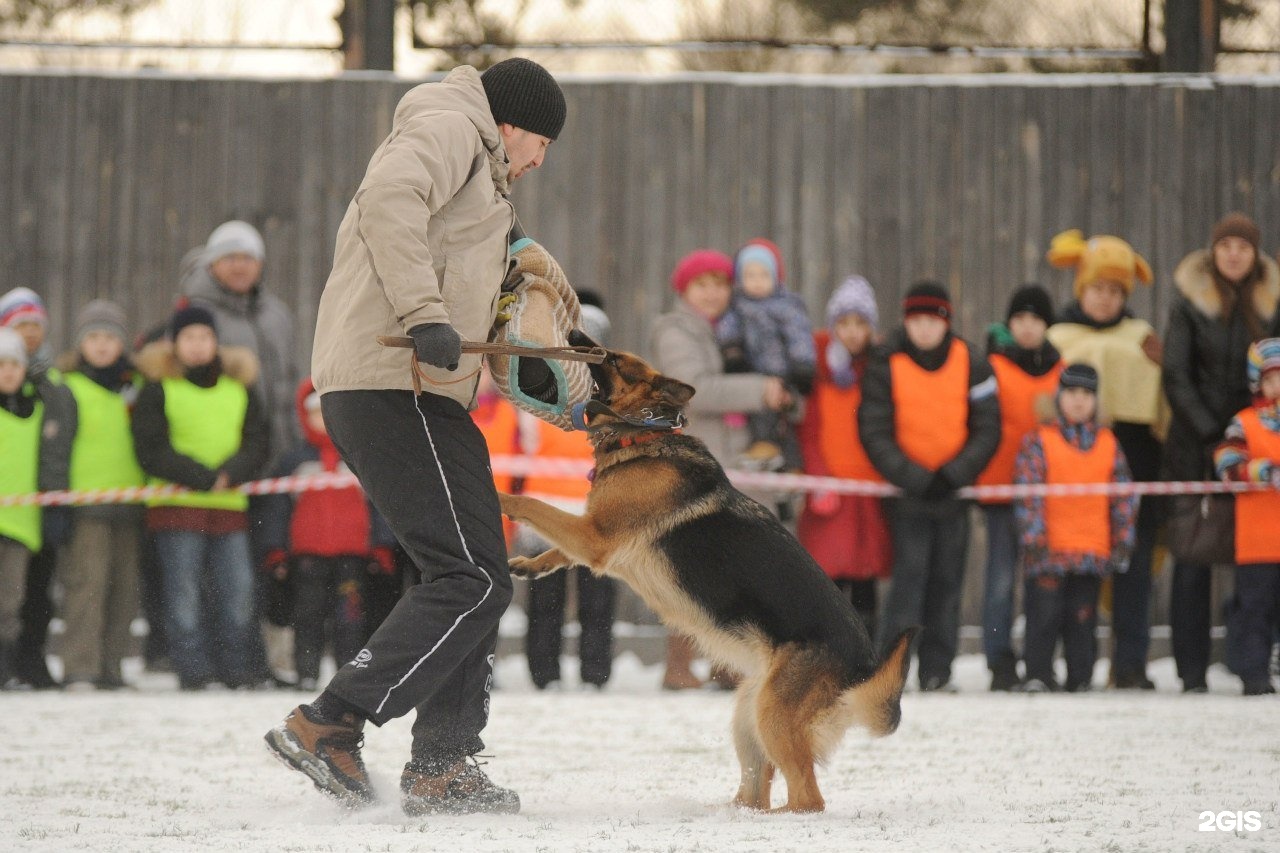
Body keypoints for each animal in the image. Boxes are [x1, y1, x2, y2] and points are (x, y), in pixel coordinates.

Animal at [494, 338, 916, 809]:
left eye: (613, 360)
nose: (575, 336)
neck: (647, 430)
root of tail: (865, 666)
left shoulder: (595, 537)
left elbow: (532, 504)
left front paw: (495, 490)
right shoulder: (594, 537)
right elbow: (558, 545)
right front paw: (531, 564)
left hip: (771, 716)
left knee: (808, 797)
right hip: (748, 713)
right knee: (757, 789)